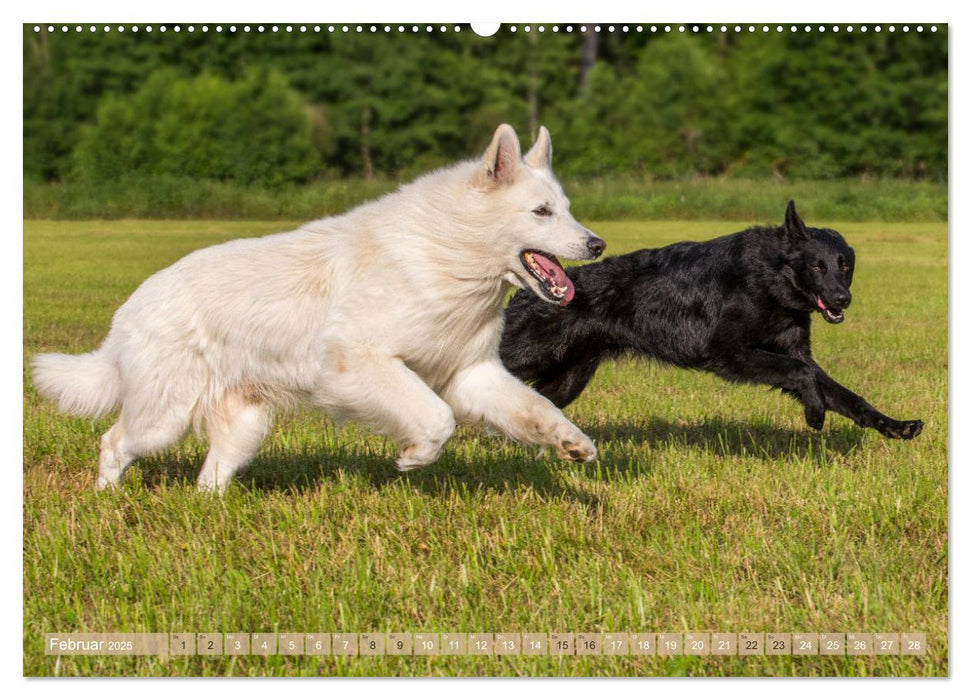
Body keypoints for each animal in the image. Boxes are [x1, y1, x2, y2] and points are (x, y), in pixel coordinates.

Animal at [32, 123, 608, 492]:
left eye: (568, 210)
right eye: (542, 212)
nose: (598, 244)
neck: (448, 252)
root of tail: (129, 310)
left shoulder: (471, 373)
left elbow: (538, 409)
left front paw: (572, 443)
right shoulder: (360, 363)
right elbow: (438, 419)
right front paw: (414, 456)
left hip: (243, 428)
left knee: (208, 477)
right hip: (162, 418)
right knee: (113, 442)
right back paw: (108, 501)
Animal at [504, 201, 924, 438]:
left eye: (844, 266)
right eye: (818, 266)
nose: (842, 299)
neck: (769, 278)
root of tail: (527, 290)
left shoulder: (792, 351)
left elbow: (847, 396)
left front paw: (894, 426)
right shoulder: (729, 352)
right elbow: (804, 377)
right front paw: (814, 413)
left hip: (568, 379)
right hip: (530, 357)